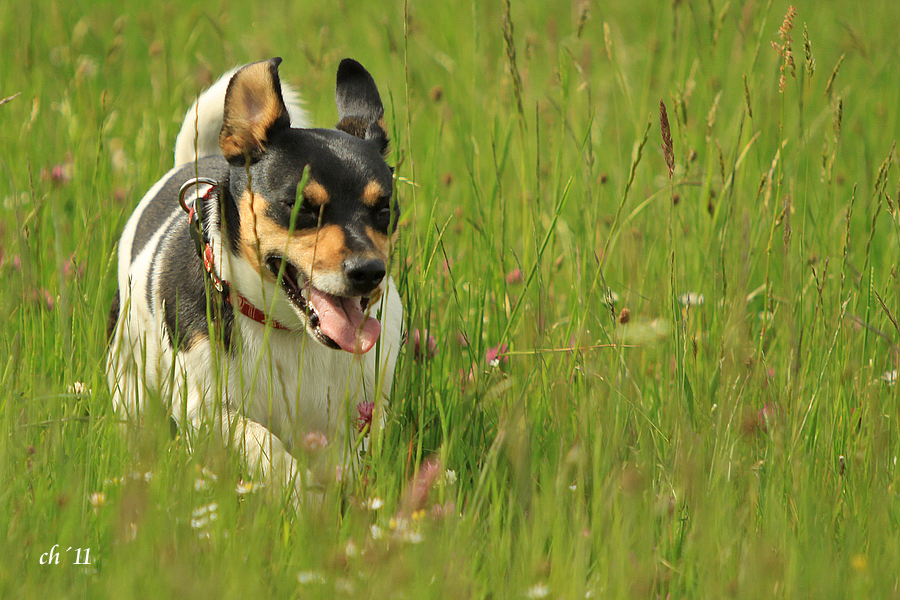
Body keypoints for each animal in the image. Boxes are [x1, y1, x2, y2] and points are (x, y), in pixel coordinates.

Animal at [104, 58, 400, 502]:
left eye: (384, 210)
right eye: (300, 208)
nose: (368, 272)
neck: (288, 330)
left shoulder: (356, 417)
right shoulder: (208, 413)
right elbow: (264, 444)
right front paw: (301, 496)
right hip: (128, 372)